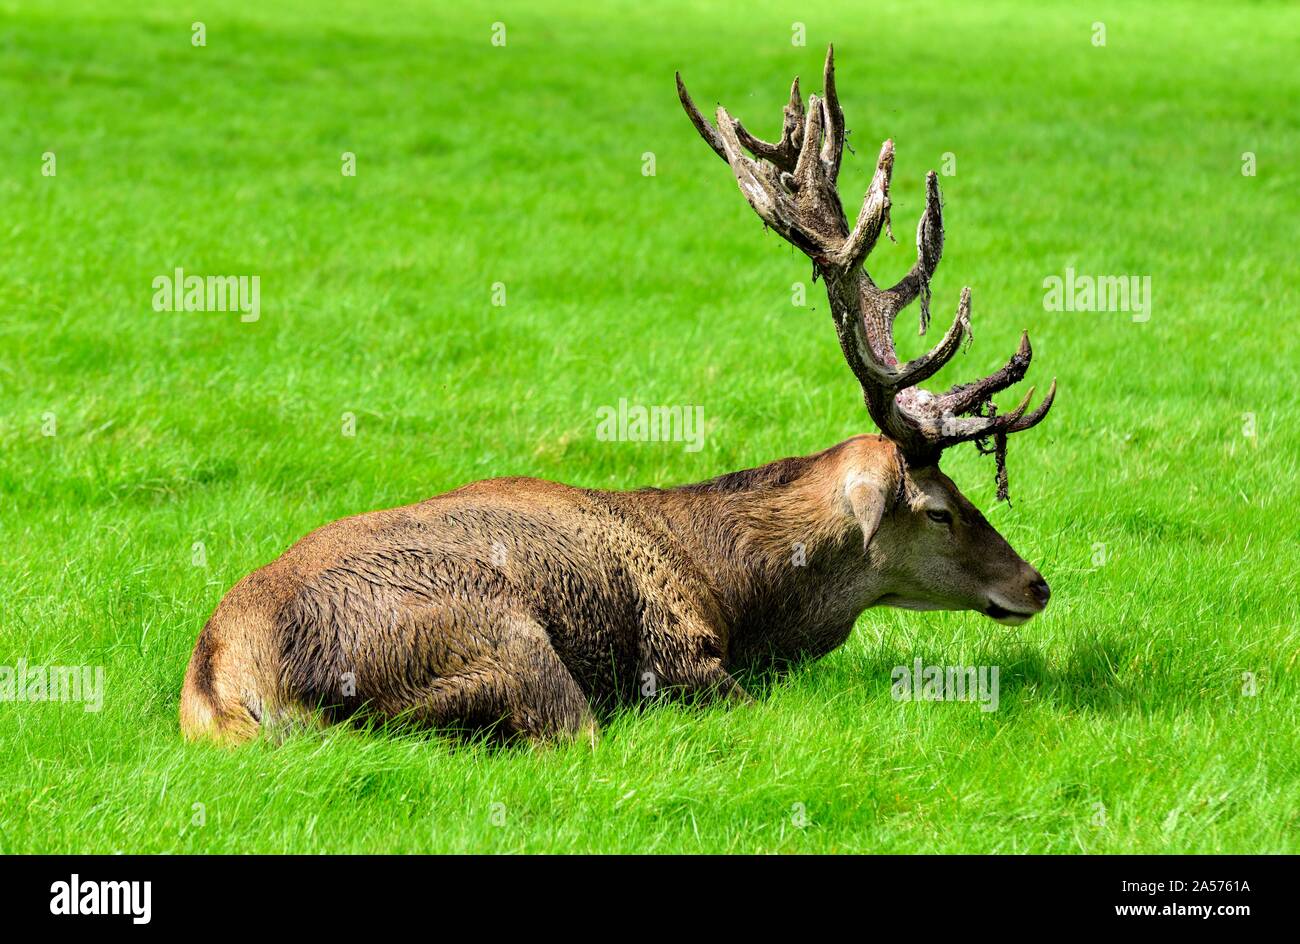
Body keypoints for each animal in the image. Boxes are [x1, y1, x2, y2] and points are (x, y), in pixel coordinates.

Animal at [180, 48, 1055, 748]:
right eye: (940, 508)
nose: (1036, 584)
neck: (733, 591)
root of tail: (223, 685)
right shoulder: (682, 656)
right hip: (503, 643)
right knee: (570, 737)